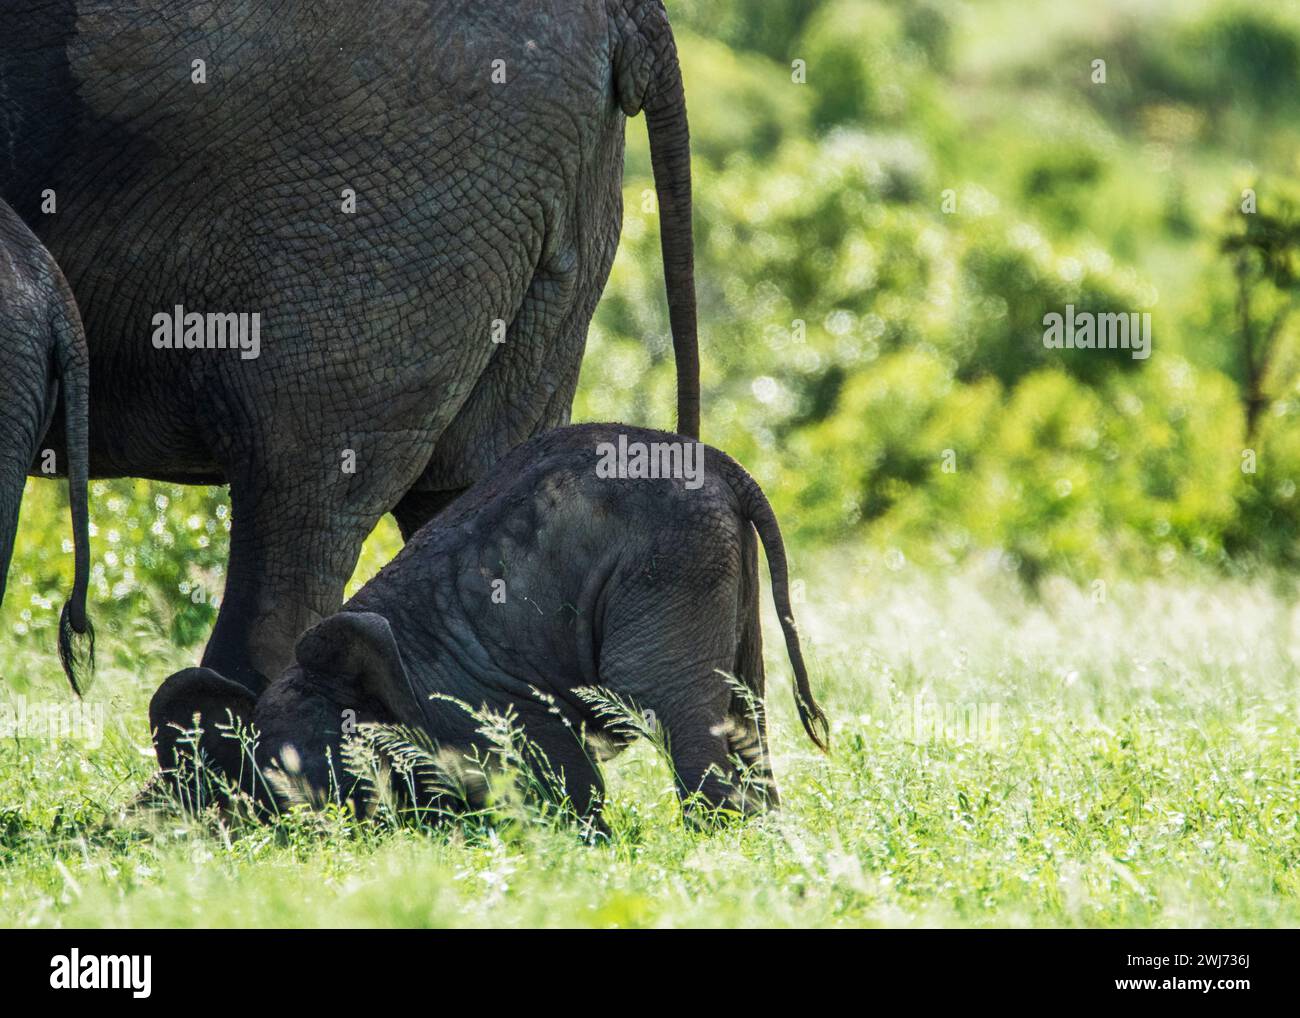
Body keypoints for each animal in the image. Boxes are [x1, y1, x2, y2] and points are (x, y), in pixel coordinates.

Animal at [149, 421, 821, 826]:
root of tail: (724, 466)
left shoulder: (478, 705)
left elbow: (553, 774)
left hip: (672, 560)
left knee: (666, 704)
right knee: (745, 708)